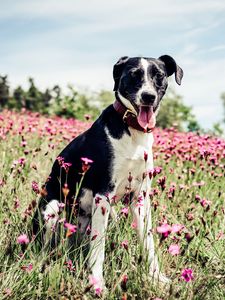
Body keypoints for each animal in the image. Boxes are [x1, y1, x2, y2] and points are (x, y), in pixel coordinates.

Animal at [32, 54, 183, 290]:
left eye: (159, 76)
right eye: (134, 75)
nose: (148, 96)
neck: (133, 131)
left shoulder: (140, 197)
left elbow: (148, 242)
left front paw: (157, 277)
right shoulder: (103, 193)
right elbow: (99, 247)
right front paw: (97, 282)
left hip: (108, 215)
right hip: (52, 210)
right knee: (44, 247)